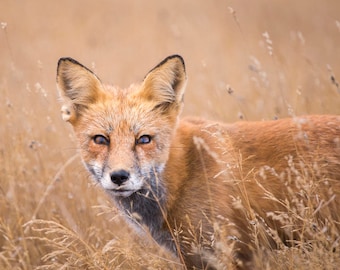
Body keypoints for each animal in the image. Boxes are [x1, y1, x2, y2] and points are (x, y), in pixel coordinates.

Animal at [55, 54, 340, 268]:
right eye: (101, 140)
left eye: (144, 139)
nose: (119, 176)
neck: (183, 175)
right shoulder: (194, 258)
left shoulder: (228, 252)